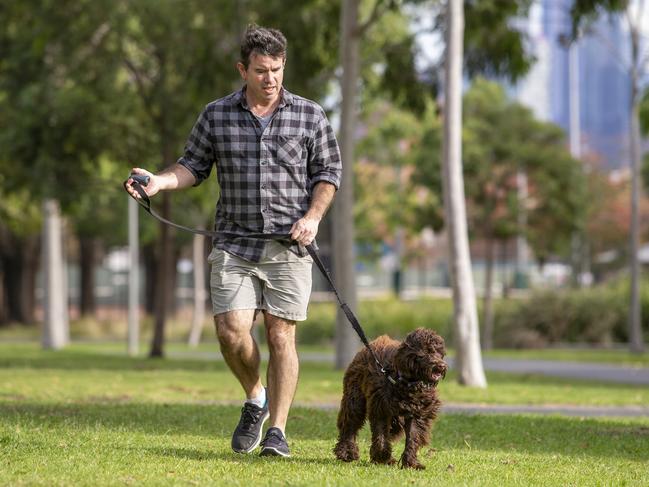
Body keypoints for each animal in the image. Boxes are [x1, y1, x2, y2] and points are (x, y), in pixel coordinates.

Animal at [334, 328, 446, 468]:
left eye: (439, 353)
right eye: (426, 351)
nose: (441, 365)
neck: (408, 383)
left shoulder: (418, 413)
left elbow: (413, 437)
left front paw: (411, 463)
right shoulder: (380, 409)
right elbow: (381, 434)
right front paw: (382, 456)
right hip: (354, 400)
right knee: (349, 424)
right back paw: (346, 452)